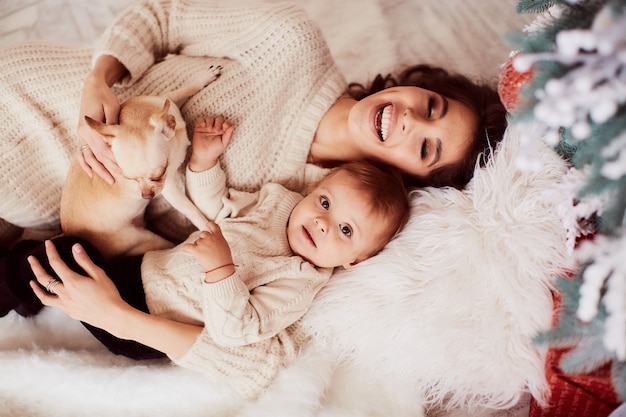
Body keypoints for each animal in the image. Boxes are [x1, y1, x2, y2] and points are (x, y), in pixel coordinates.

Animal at [56, 66, 222, 256]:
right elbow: (189, 208)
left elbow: (184, 90)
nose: (146, 195)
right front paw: (207, 228)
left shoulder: (168, 101)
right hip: (145, 240)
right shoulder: (169, 188)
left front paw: (203, 78)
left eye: (157, 176)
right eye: (129, 179)